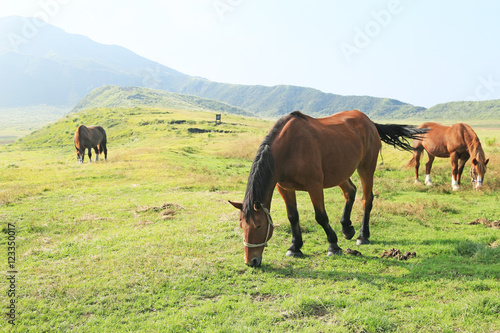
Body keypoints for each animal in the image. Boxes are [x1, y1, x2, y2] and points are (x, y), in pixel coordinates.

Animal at [229, 110, 428, 266]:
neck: (289, 149)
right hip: (340, 172)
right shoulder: (285, 188)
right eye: (241, 225)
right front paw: (295, 247)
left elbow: (321, 217)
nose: (251, 261)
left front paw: (333, 245)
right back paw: (347, 228)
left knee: (367, 200)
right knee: (350, 192)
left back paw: (362, 236)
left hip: (366, 168)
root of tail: (369, 122)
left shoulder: (315, 186)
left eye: (259, 226)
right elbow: (293, 217)